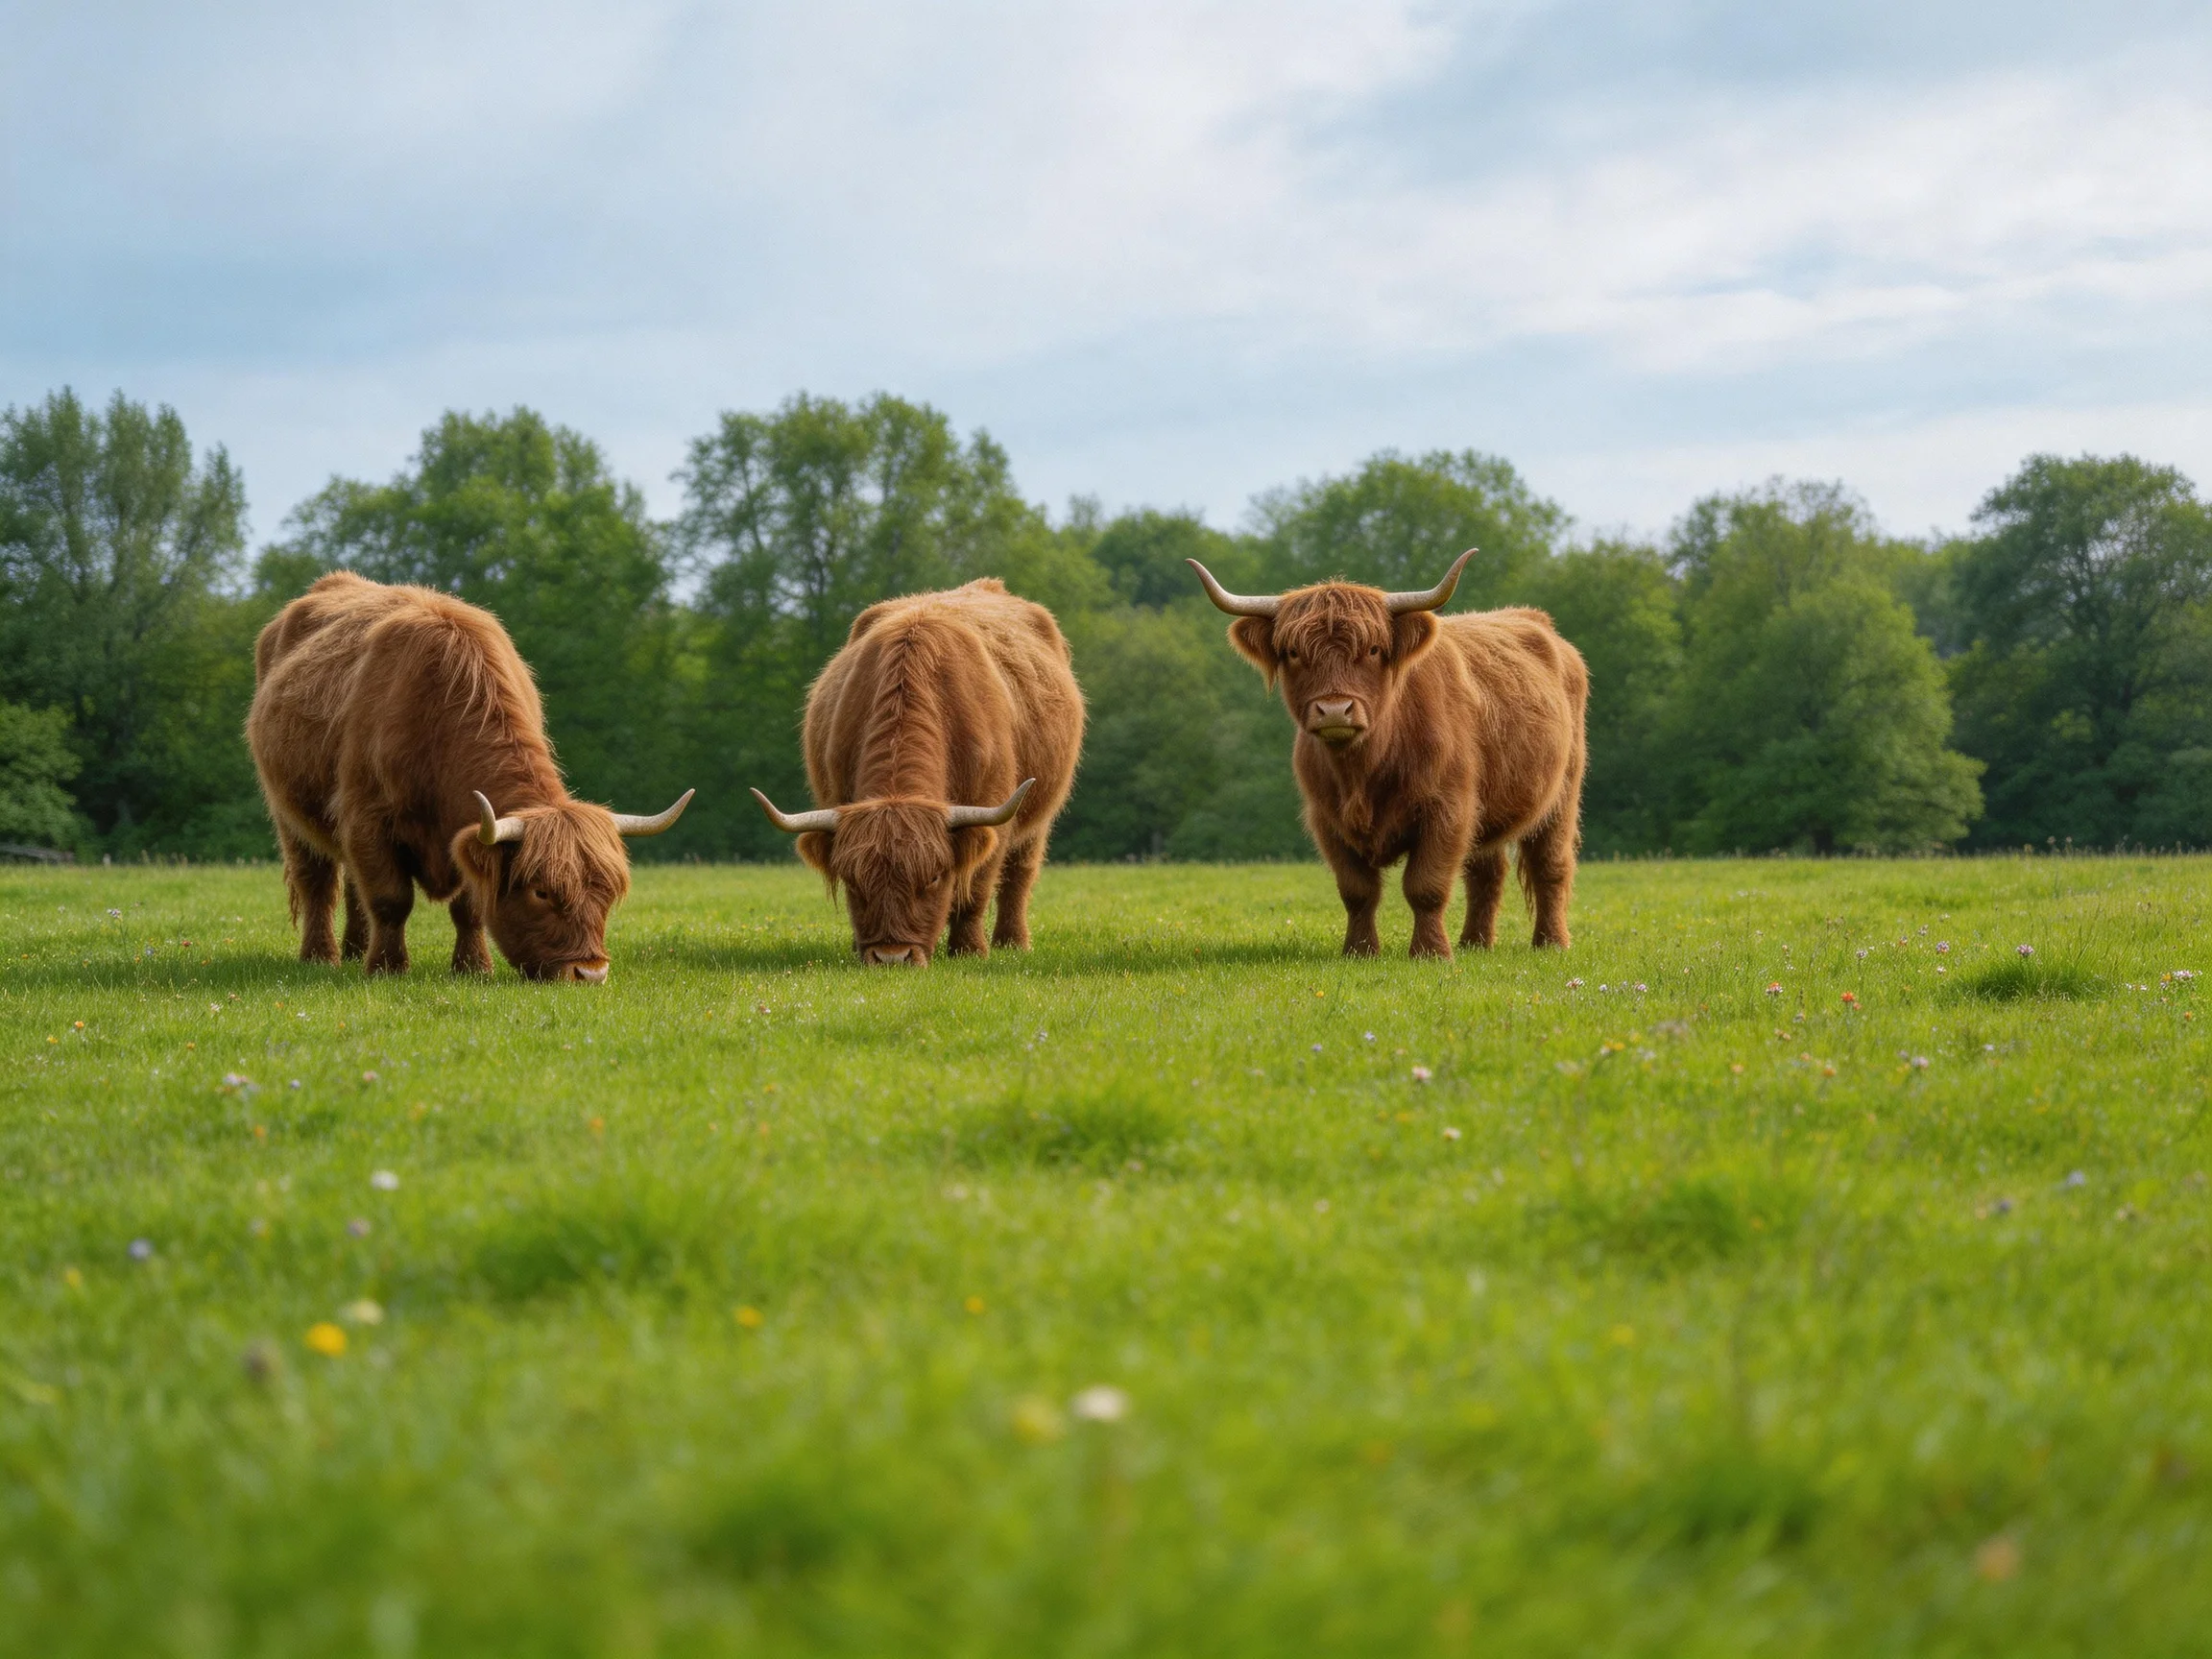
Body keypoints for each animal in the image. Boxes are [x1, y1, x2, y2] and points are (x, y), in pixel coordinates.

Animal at [248, 571, 693, 982]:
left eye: (606, 892)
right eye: (542, 891)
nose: (590, 972)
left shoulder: (464, 831)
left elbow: (469, 906)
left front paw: (473, 967)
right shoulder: (367, 819)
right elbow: (391, 899)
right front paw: (388, 967)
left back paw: (356, 950)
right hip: (289, 813)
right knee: (318, 883)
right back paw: (321, 956)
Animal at [749, 578, 1083, 965]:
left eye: (934, 877)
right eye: (854, 882)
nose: (892, 957)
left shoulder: (992, 817)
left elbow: (976, 890)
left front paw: (969, 950)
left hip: (1038, 819)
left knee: (1019, 876)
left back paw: (1012, 942)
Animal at [1189, 550, 1587, 959]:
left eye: (1373, 650)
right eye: (1294, 653)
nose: (1335, 710)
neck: (1363, 771)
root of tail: (1532, 618)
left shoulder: (1448, 809)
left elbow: (1425, 887)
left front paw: (1431, 953)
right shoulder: (1327, 819)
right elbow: (1357, 891)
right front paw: (1360, 950)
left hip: (1562, 795)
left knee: (1550, 866)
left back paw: (1551, 942)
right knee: (1487, 874)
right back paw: (1475, 944)